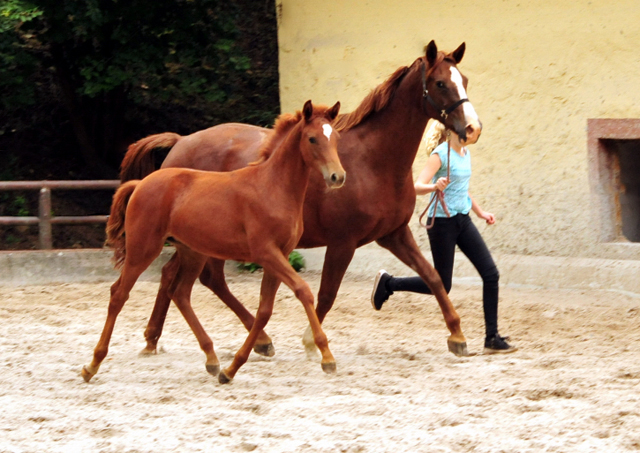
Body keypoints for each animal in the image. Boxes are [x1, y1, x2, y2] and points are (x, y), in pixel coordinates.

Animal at [85, 100, 348, 384]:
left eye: (336, 138)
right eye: (312, 139)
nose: (338, 176)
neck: (272, 187)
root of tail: (140, 184)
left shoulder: (281, 254)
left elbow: (265, 310)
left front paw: (232, 369)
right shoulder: (266, 253)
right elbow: (303, 291)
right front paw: (326, 357)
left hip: (193, 253)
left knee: (180, 293)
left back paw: (211, 360)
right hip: (143, 249)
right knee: (119, 294)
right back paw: (92, 364)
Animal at [121, 39, 480, 356]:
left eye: (464, 80)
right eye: (440, 83)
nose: (472, 128)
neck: (373, 160)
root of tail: (180, 143)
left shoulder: (394, 234)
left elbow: (434, 277)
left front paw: (457, 335)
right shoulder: (343, 242)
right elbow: (326, 294)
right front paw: (311, 341)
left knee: (180, 276)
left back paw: (157, 338)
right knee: (203, 279)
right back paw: (256, 339)